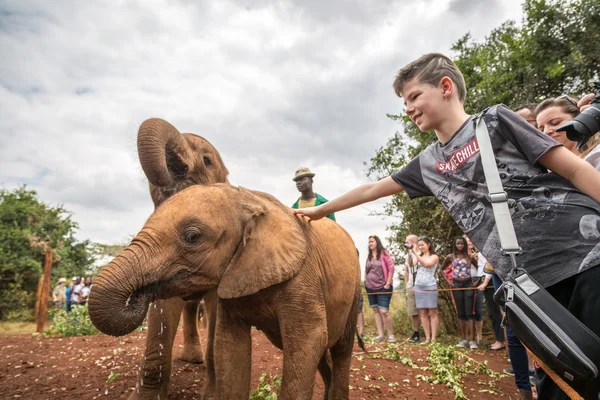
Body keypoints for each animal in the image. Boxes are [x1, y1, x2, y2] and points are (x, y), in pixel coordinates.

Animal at [88, 184, 360, 400]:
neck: (248, 198)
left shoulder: (303, 275)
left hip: (355, 289)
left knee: (340, 347)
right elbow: (229, 346)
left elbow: (308, 340)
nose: (138, 296)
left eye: (192, 237)